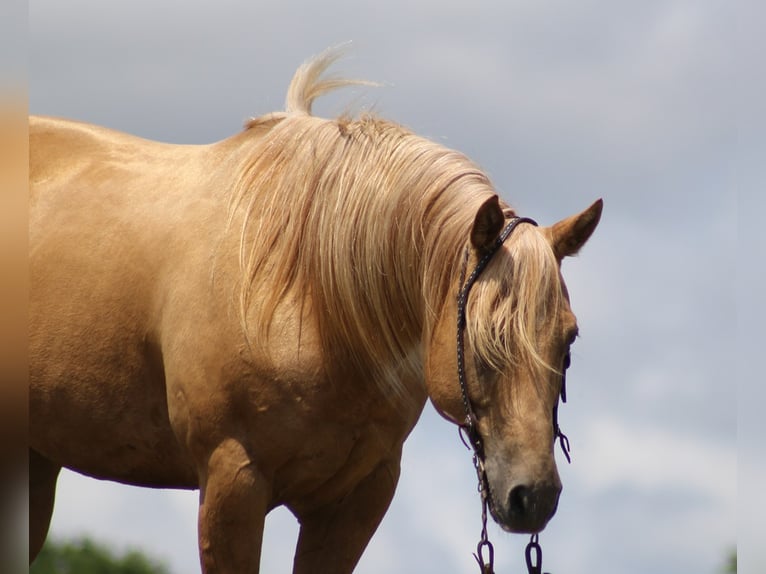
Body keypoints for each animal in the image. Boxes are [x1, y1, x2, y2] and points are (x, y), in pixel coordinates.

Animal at [30, 50, 604, 574]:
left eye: (569, 341)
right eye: (484, 343)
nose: (533, 496)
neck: (310, 301)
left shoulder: (357, 498)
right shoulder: (231, 481)